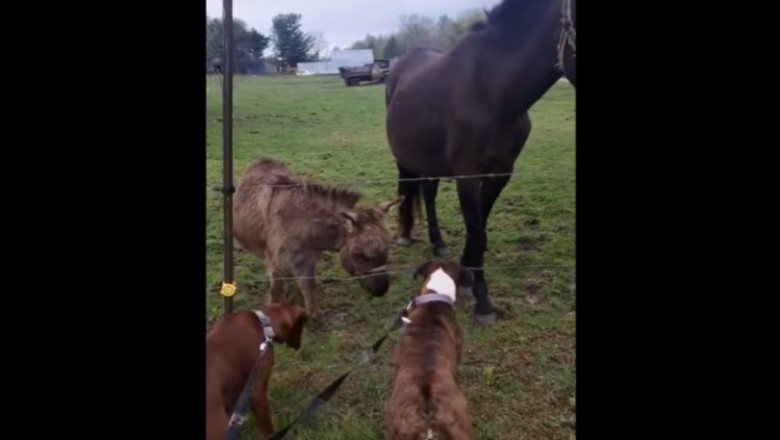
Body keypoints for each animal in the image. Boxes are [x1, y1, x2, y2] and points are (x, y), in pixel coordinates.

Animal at [386, 0, 576, 324]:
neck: (491, 90)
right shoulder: (468, 176)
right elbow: (477, 232)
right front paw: (483, 303)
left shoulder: (500, 173)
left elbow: (479, 228)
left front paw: (466, 278)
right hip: (405, 157)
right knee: (406, 189)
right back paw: (405, 235)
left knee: (428, 195)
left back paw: (438, 242)